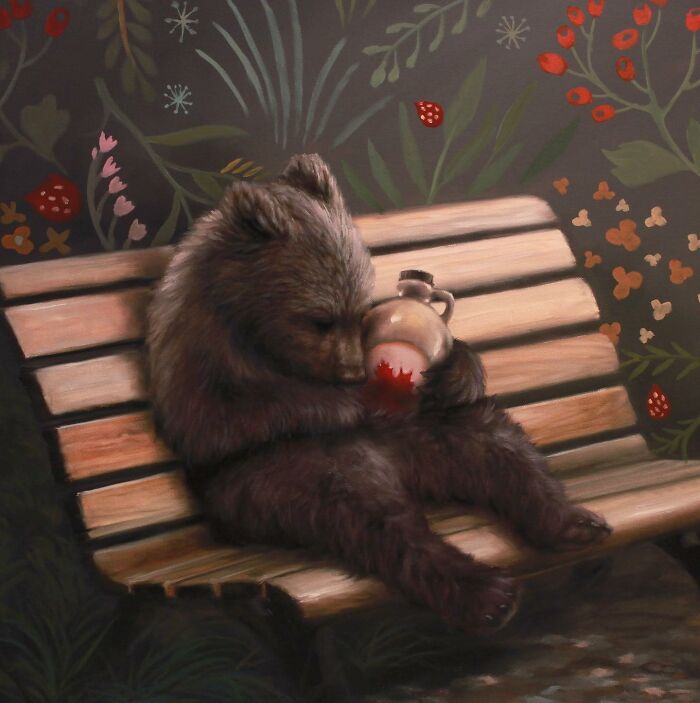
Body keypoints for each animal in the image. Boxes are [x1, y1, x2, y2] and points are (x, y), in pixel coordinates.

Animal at [146, 153, 612, 632]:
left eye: (361, 313)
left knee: (495, 444)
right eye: (320, 320)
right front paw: (351, 403)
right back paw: (488, 595)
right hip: (284, 475)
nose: (354, 373)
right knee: (372, 518)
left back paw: (570, 521)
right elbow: (224, 417)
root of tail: (404, 470)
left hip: (430, 433)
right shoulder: (199, 352)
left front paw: (454, 370)